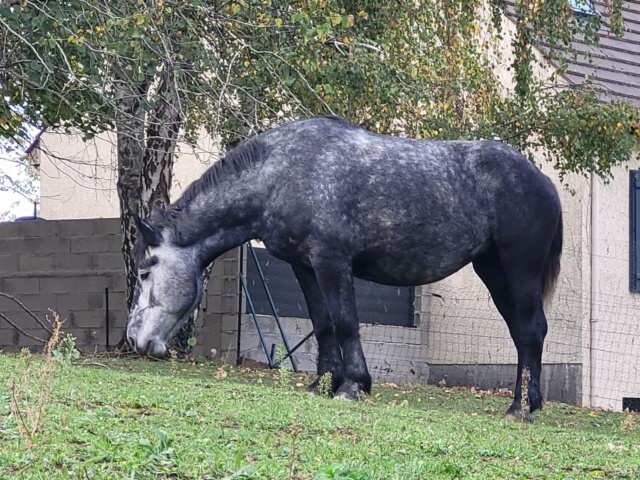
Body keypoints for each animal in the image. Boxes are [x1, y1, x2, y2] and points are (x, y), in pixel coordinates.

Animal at [127, 115, 564, 420]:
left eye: (146, 271)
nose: (135, 340)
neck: (282, 173)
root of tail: (543, 181)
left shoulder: (332, 262)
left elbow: (345, 321)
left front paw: (352, 385)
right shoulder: (305, 267)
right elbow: (323, 324)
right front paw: (323, 382)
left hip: (518, 269)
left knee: (530, 330)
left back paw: (521, 408)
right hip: (493, 272)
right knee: (521, 333)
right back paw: (529, 402)